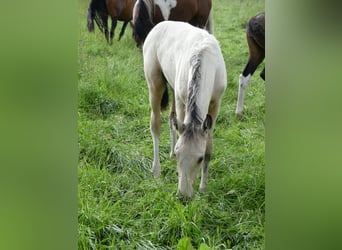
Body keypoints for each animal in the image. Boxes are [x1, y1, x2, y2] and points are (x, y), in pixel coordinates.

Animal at [142, 20, 227, 198]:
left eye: (200, 158)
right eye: (179, 156)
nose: (184, 196)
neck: (206, 59)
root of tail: (159, 25)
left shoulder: (216, 103)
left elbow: (208, 147)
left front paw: (203, 187)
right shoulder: (183, 101)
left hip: (173, 86)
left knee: (171, 118)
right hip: (155, 83)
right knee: (156, 124)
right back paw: (156, 169)